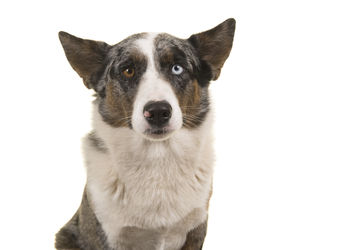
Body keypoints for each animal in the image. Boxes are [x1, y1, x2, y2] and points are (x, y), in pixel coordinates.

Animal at [56, 18, 237, 250]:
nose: (158, 111)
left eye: (177, 68)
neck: (157, 156)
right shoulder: (107, 235)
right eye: (128, 71)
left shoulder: (196, 228)